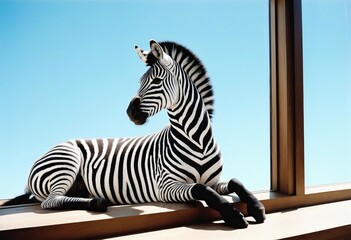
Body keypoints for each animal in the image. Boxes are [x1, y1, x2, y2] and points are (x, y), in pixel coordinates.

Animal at [2, 39, 266, 229]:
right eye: (140, 81)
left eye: (156, 81)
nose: (130, 112)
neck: (196, 139)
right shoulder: (166, 186)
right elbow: (203, 190)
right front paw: (234, 215)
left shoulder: (213, 180)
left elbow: (235, 181)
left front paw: (256, 207)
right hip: (67, 161)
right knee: (50, 201)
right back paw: (98, 201)